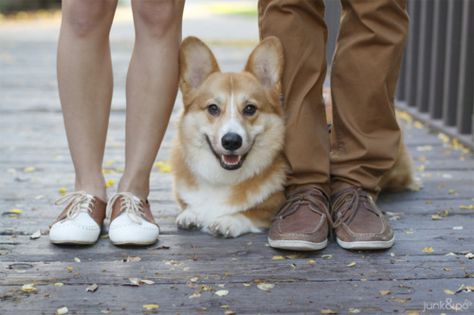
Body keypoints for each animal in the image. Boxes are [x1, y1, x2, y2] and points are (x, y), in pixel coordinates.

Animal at [171, 36, 286, 237]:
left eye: (250, 109)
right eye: (213, 108)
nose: (231, 141)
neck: (222, 178)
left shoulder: (273, 206)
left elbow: (251, 212)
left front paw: (228, 220)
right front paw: (191, 213)